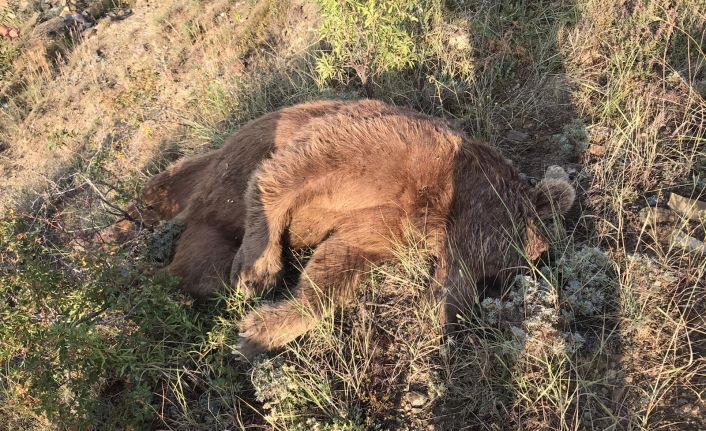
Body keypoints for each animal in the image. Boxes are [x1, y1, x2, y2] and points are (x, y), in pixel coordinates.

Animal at [138, 99, 572, 360]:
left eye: (491, 280)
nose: (451, 320)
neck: (437, 203)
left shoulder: (385, 226)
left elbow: (336, 266)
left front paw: (257, 332)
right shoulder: (387, 149)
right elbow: (289, 171)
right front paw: (259, 271)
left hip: (208, 230)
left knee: (197, 270)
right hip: (227, 161)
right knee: (176, 183)